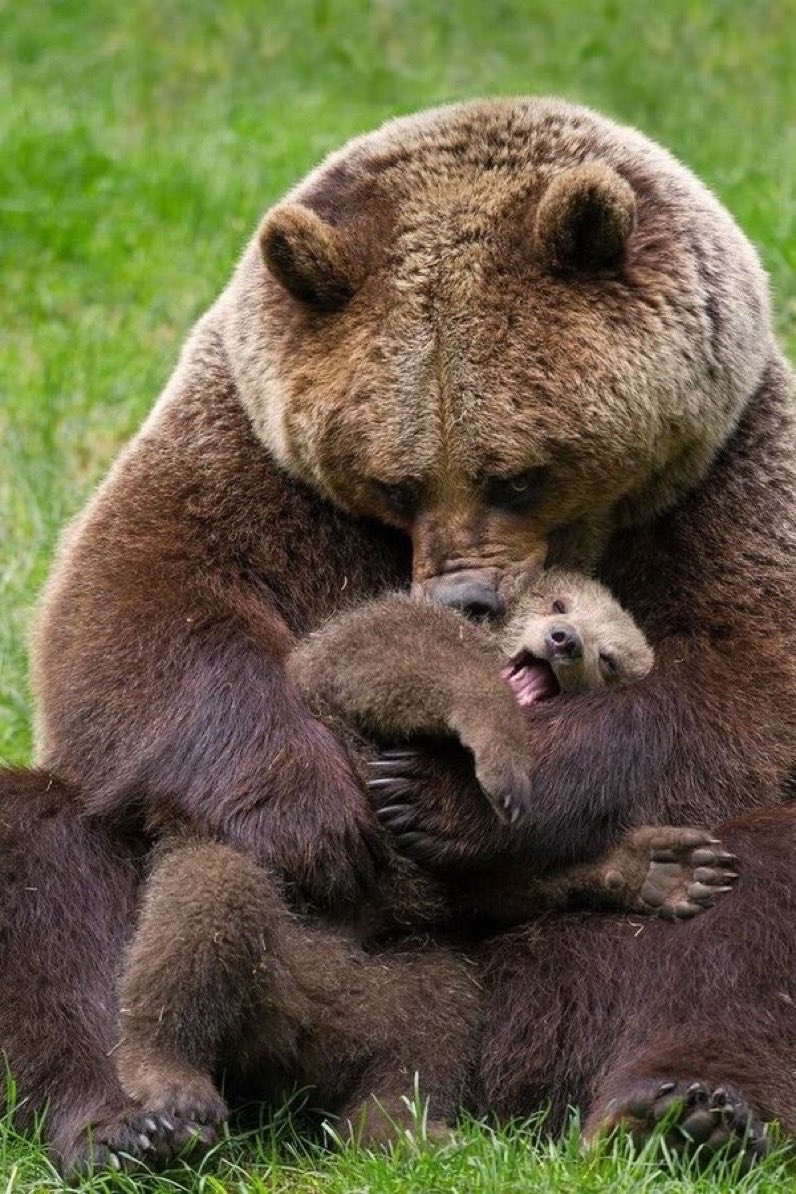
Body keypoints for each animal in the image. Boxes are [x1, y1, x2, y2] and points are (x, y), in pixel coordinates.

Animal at [112, 575, 735, 1166]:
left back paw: (406, 1130)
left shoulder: (458, 867)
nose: (565, 641)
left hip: (377, 986)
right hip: (268, 921)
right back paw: (171, 1080)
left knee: (436, 1017)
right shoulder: (347, 674)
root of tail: (293, 1031)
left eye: (610, 659)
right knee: (210, 900)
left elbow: (505, 886)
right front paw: (503, 753)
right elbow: (393, 654)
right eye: (560, 603)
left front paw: (662, 867)